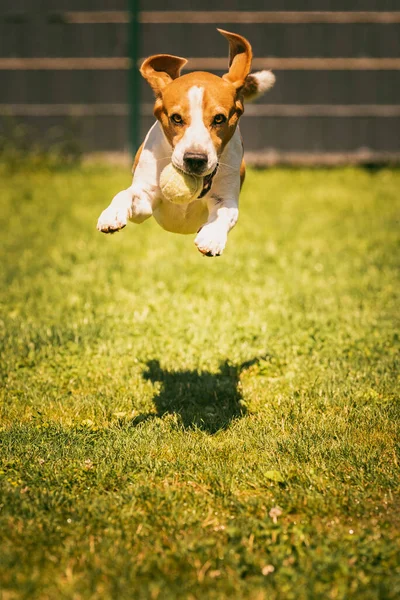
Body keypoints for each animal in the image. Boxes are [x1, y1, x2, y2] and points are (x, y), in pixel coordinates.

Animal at [97, 29, 276, 256]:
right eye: (176, 118)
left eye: (219, 118)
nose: (195, 159)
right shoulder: (145, 198)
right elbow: (126, 194)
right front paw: (112, 214)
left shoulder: (226, 196)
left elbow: (225, 212)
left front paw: (211, 237)